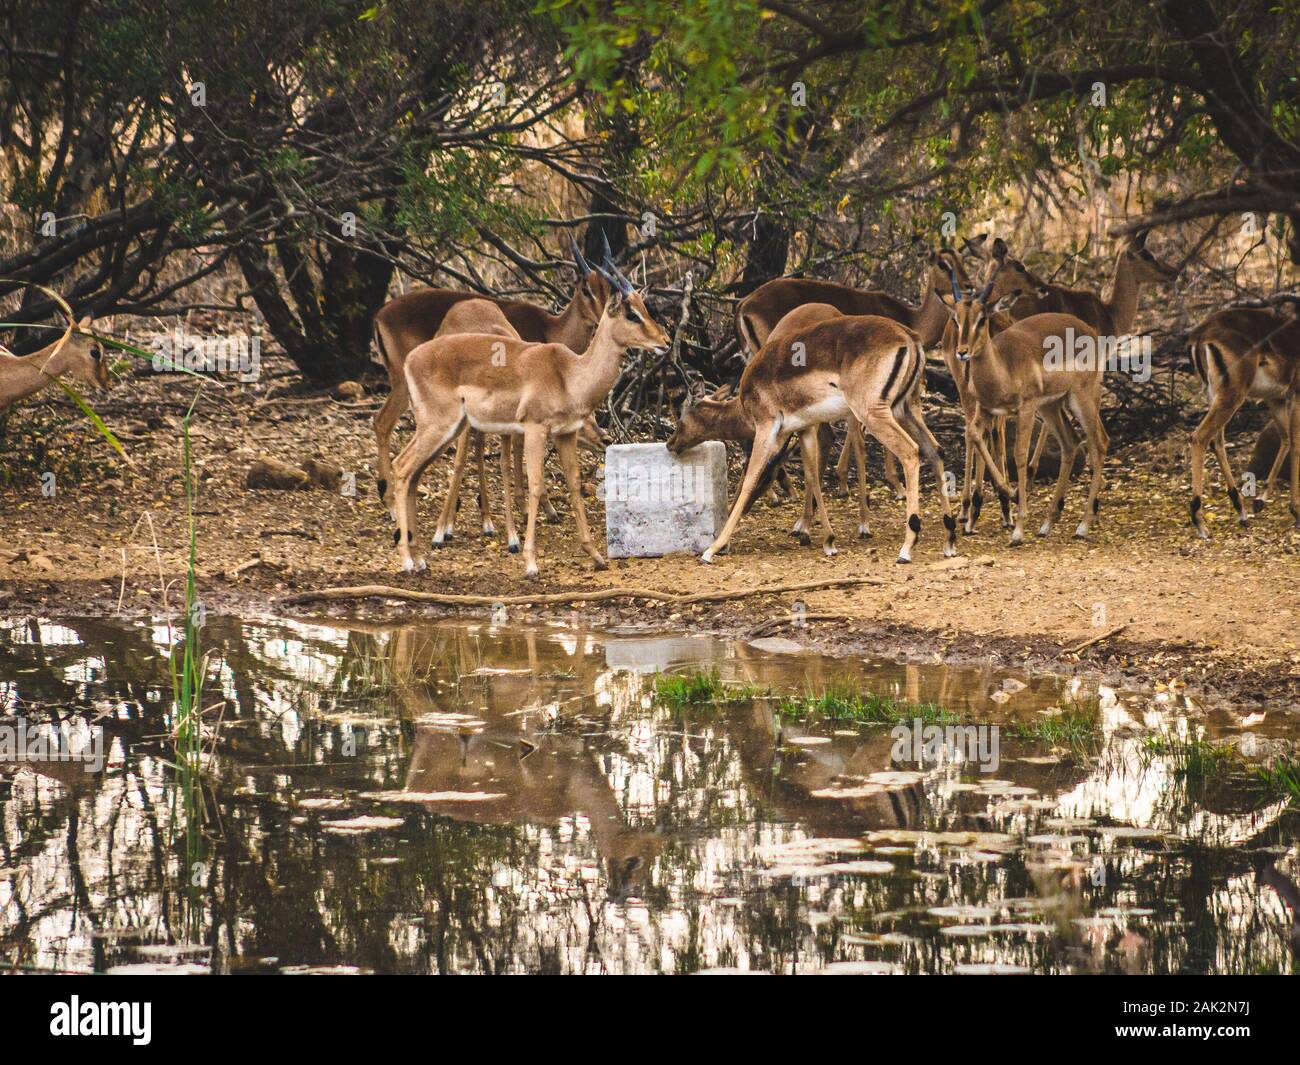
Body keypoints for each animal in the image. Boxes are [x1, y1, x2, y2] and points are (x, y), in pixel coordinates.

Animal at [371, 240, 610, 513]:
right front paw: (542, 505)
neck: (551, 329)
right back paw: (391, 501)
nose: (603, 320)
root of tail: (379, 315)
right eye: (586, 289)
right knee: (383, 422)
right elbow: (519, 444)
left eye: (609, 288)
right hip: (403, 385)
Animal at [392, 253, 668, 577]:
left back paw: (420, 558)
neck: (570, 375)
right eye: (630, 313)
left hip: (449, 430)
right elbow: (536, 485)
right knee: (401, 467)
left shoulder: (566, 434)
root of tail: (411, 360)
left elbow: (574, 484)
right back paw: (408, 559)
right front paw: (530, 562)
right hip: (437, 427)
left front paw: (596, 555)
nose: (664, 340)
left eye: (644, 306)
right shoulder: (536, 429)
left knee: (414, 475)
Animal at [668, 314, 958, 564]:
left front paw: (712, 549)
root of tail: (909, 337)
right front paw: (828, 541)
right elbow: (812, 476)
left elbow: (749, 480)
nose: (671, 444)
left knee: (910, 451)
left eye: (682, 414)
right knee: (935, 451)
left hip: (875, 413)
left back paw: (907, 547)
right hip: (906, 409)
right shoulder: (805, 429)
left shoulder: (767, 429)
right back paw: (949, 541)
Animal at [936, 273, 1110, 546]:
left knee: (1100, 442)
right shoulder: (987, 411)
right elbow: (974, 436)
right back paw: (1047, 524)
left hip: (1081, 398)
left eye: (982, 318)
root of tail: (1089, 330)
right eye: (956, 318)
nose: (962, 352)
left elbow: (1018, 454)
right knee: (1071, 443)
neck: (1002, 367)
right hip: (1052, 405)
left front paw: (1017, 528)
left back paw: (1082, 526)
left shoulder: (1025, 409)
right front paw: (1010, 494)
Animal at [1186, 300, 1300, 536]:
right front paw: (1296, 510)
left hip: (1215, 395)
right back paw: (1200, 522)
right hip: (1232, 396)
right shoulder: (1295, 394)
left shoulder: (1276, 399)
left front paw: (1261, 499)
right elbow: (1295, 444)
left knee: (1217, 442)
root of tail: (1201, 333)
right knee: (1199, 438)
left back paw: (1241, 510)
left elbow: (1285, 439)